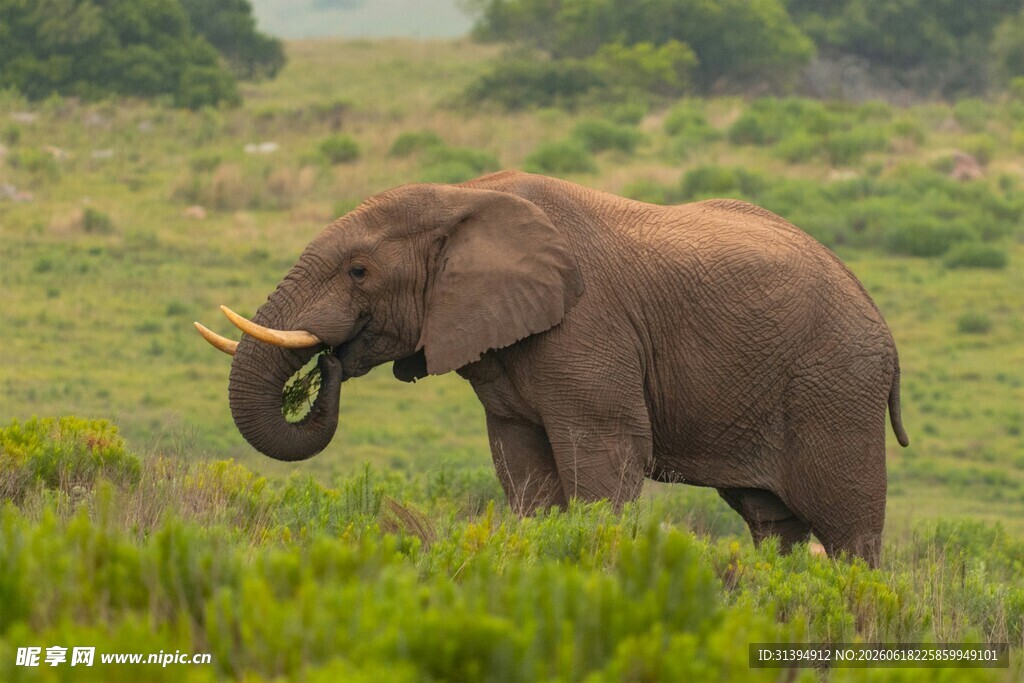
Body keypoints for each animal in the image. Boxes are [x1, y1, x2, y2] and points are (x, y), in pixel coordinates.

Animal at [196, 170, 909, 566]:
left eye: (359, 271)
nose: (330, 363)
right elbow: (523, 469)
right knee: (772, 523)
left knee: (849, 531)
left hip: (835, 387)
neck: (464, 195)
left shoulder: (590, 331)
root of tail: (883, 325)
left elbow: (605, 459)